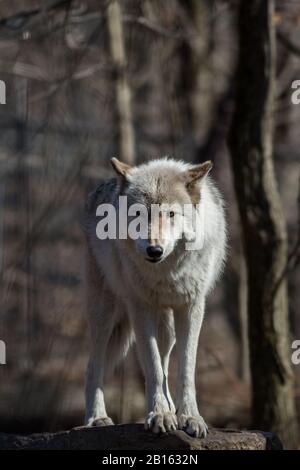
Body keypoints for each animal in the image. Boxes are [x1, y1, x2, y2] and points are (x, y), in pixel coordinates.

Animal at [83, 158, 226, 436]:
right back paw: (97, 418)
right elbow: (153, 368)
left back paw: (171, 408)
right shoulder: (141, 307)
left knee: (166, 357)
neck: (166, 271)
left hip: (166, 326)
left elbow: (184, 370)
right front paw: (159, 415)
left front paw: (189, 417)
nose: (154, 249)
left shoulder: (192, 307)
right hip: (105, 313)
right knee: (94, 366)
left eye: (171, 214)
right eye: (139, 213)